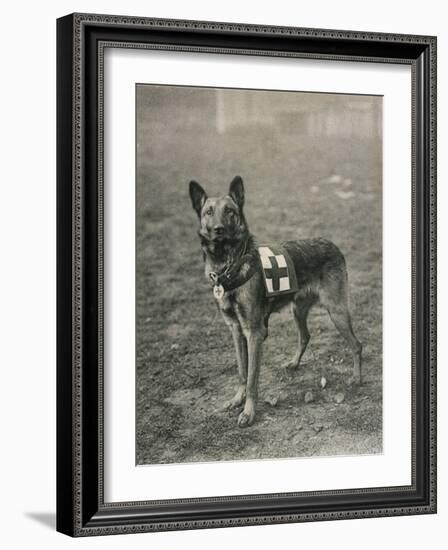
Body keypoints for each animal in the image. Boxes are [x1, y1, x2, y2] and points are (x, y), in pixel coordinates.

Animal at [188, 179, 360, 430]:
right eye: (208, 212)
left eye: (230, 211)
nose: (218, 229)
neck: (229, 266)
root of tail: (331, 244)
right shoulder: (236, 331)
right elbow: (241, 371)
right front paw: (237, 399)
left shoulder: (254, 333)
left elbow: (252, 378)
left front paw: (248, 412)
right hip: (298, 310)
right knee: (305, 336)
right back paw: (295, 363)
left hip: (336, 311)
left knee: (357, 345)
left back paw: (356, 378)